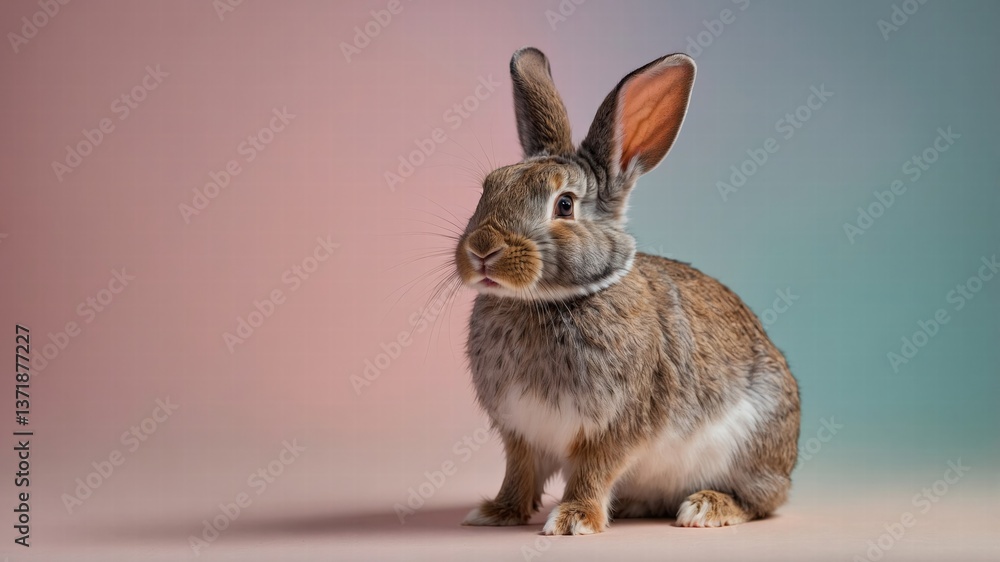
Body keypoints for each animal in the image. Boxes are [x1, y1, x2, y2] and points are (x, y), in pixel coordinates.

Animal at [454, 47, 800, 535]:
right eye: (489, 187)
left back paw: (706, 508)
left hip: (751, 447)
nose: (482, 250)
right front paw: (496, 513)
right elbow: (519, 474)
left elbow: (593, 471)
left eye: (565, 205)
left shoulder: (615, 426)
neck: (551, 301)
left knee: (762, 501)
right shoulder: (520, 432)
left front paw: (573, 520)